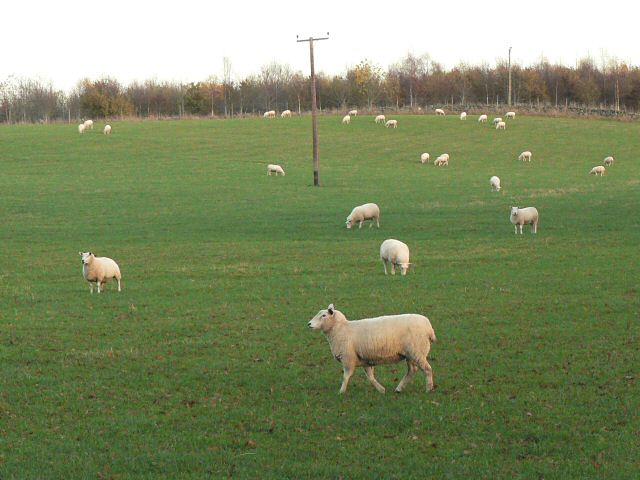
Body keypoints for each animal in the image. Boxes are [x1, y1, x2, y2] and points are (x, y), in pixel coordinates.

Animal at [308, 304, 438, 394]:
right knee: (412, 370)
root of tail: (429, 328)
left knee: (427, 369)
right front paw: (381, 390)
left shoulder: (348, 358)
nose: (309, 324)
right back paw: (399, 389)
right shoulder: (364, 359)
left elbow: (346, 376)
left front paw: (341, 392)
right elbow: (370, 377)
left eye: (323, 315)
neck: (340, 329)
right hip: (410, 354)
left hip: (416, 351)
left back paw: (428, 389)